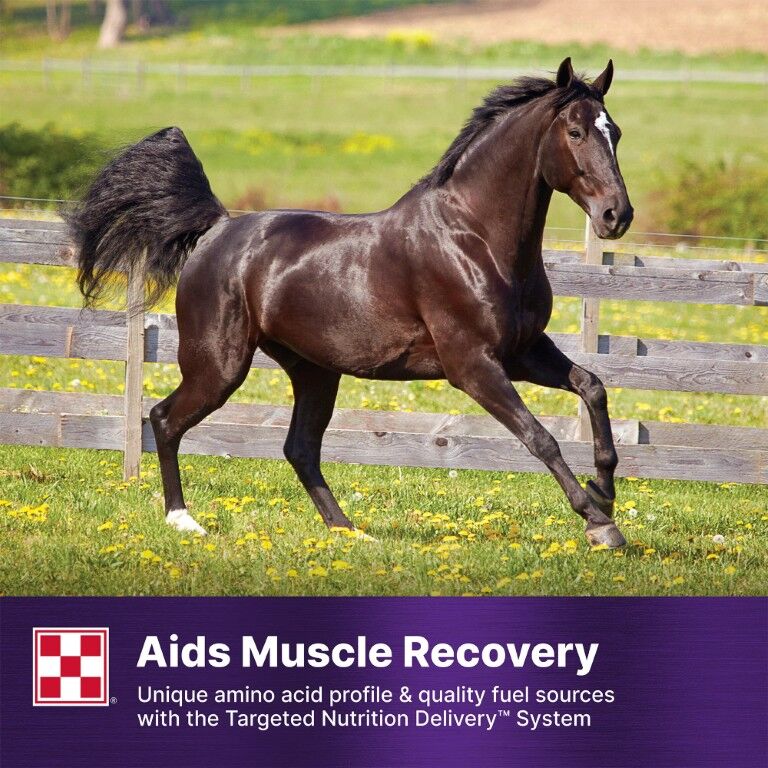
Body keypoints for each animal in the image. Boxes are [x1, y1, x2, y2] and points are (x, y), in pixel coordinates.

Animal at [67, 57, 633, 548]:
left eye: (616, 132)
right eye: (576, 133)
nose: (616, 216)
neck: (475, 238)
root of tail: (218, 229)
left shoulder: (523, 351)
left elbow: (593, 386)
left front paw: (605, 491)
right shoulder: (472, 364)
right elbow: (541, 437)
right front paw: (599, 523)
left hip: (314, 371)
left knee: (299, 448)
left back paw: (348, 530)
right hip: (218, 365)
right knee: (164, 419)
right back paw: (184, 520)